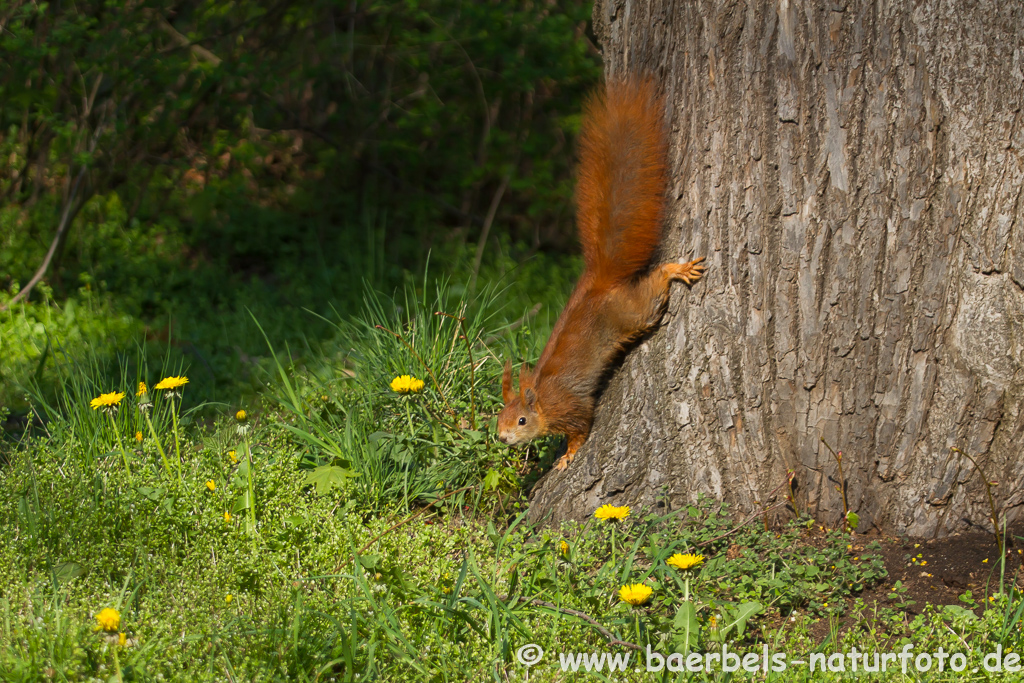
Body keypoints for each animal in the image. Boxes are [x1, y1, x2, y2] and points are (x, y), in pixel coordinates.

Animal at [495, 76, 704, 471]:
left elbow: (582, 427)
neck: (543, 401)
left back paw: (675, 269)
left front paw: (568, 455)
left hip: (631, 312)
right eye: (498, 418)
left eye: (522, 420)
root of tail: (599, 282)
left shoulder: (573, 407)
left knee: (653, 290)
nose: (502, 438)